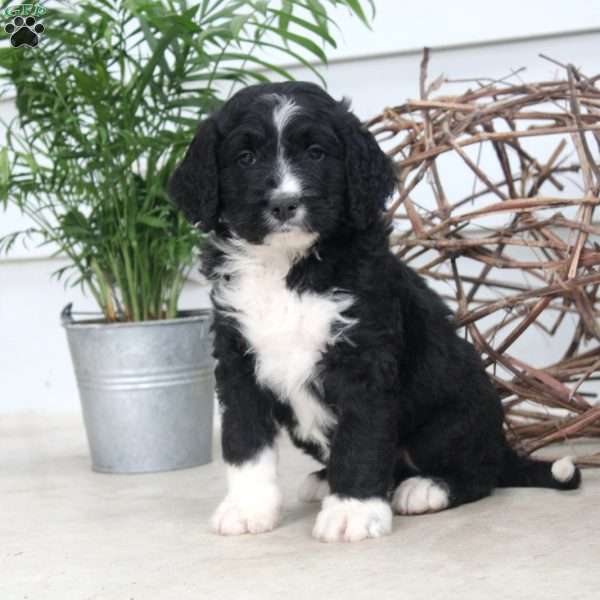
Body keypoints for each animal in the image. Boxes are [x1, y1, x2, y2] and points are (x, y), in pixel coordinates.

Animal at [166, 81, 580, 544]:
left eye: (316, 153)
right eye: (245, 158)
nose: (285, 204)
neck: (288, 268)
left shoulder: (363, 359)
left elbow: (361, 438)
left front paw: (352, 511)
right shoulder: (238, 358)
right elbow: (245, 441)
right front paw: (248, 508)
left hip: (452, 419)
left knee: (479, 472)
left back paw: (426, 488)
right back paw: (325, 480)